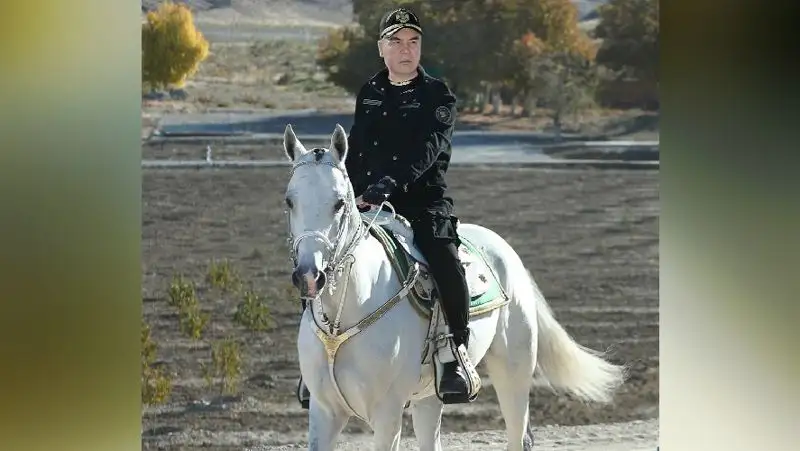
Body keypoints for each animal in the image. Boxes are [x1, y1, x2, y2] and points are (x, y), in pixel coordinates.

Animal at [280, 124, 624, 451]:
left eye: (339, 203)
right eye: (289, 201)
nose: (309, 276)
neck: (344, 319)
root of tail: (504, 249)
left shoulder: (387, 413)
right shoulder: (324, 412)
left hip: (514, 371)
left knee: (518, 435)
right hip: (429, 397)